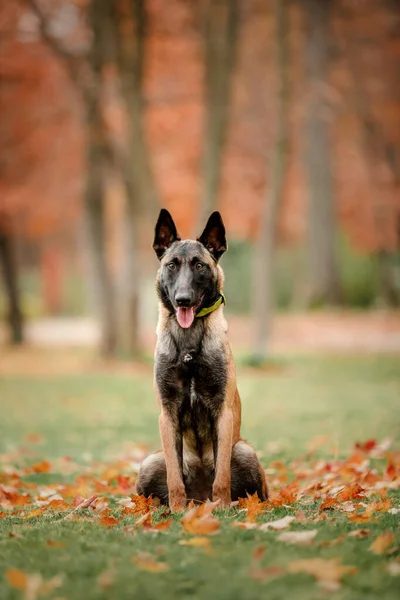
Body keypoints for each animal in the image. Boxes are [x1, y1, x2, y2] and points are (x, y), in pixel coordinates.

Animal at [136, 209, 268, 508]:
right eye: (172, 265)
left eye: (199, 266)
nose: (183, 300)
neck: (188, 345)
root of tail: (199, 497)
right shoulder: (168, 413)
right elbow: (174, 474)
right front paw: (176, 507)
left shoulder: (222, 412)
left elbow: (221, 474)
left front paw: (222, 506)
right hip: (150, 462)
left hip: (244, 451)